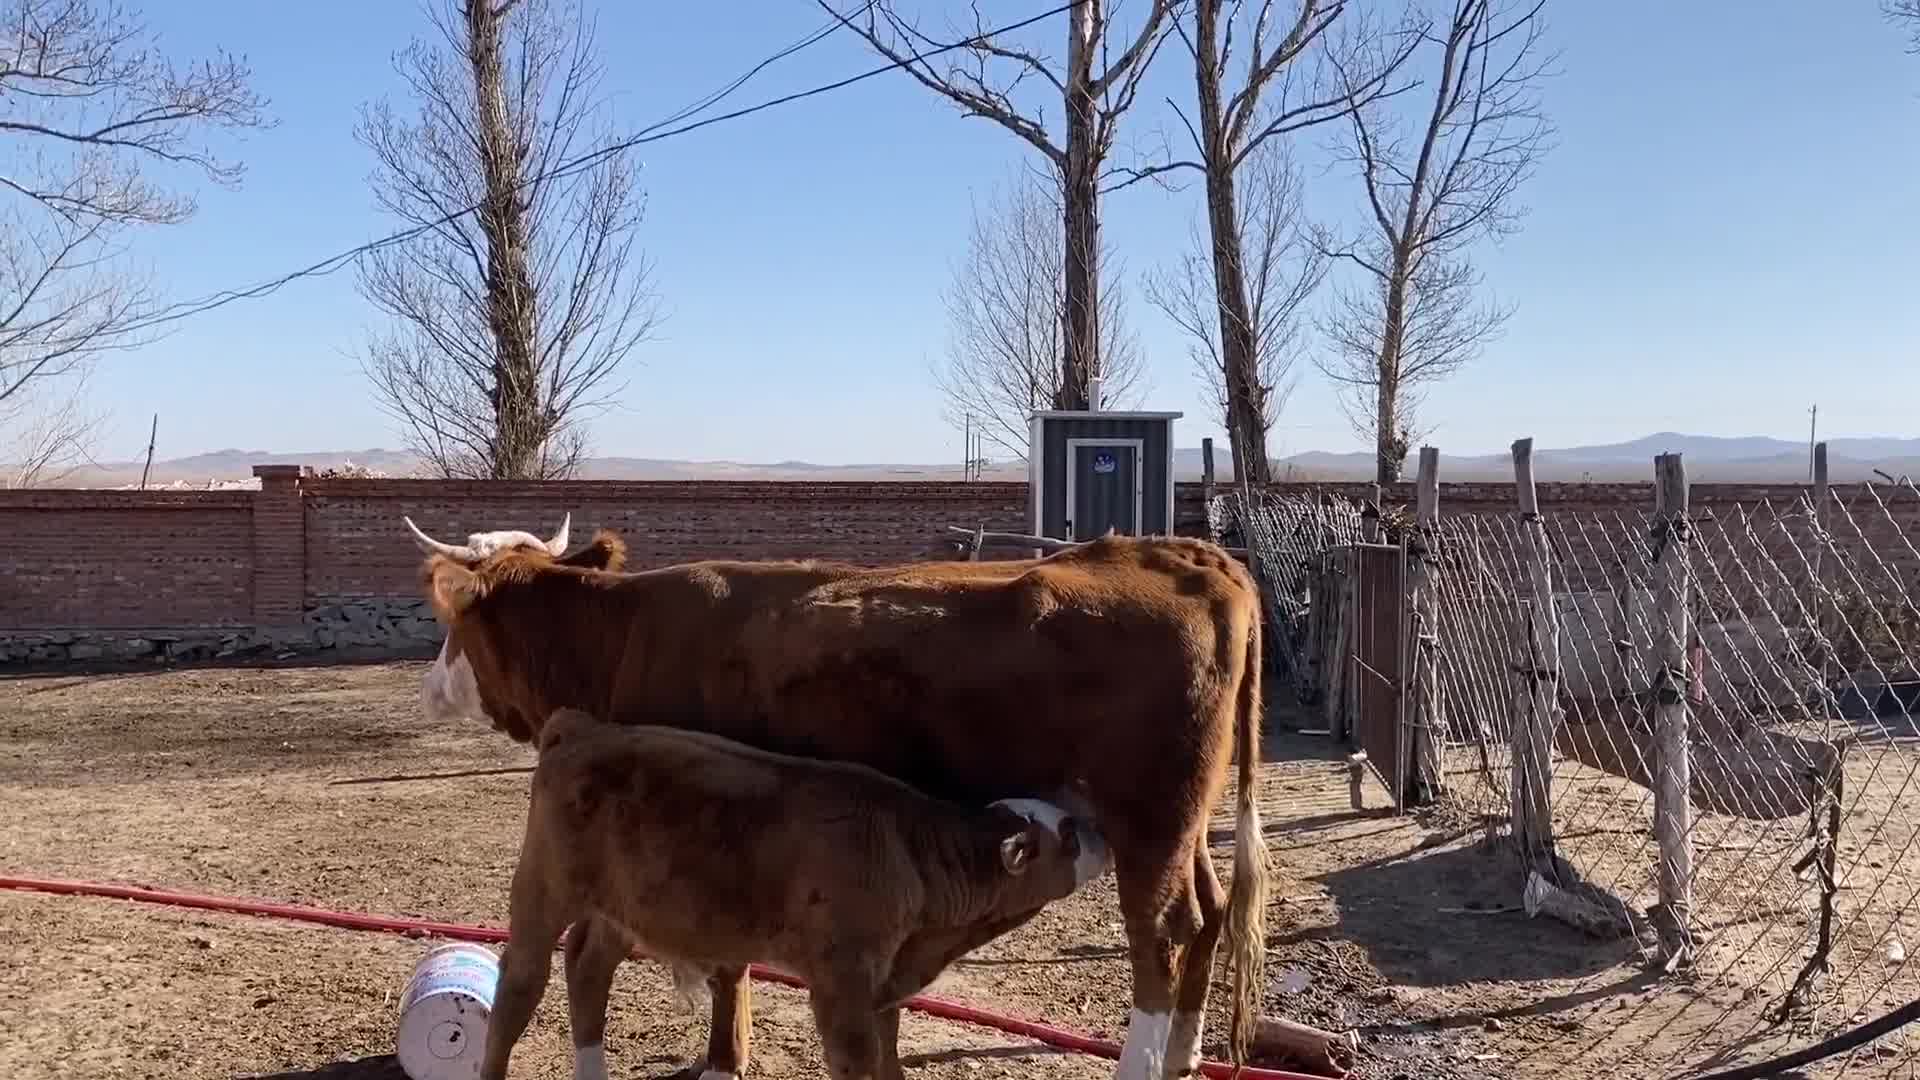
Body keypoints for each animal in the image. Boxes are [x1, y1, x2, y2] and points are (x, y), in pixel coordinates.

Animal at [480, 707, 1113, 1076]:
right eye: (1068, 833)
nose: (1105, 835)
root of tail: (585, 729)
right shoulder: (842, 982)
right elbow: (858, 1062)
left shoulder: (884, 980)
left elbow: (889, 1055)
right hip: (543, 887)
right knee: (518, 985)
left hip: (624, 902)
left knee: (588, 965)